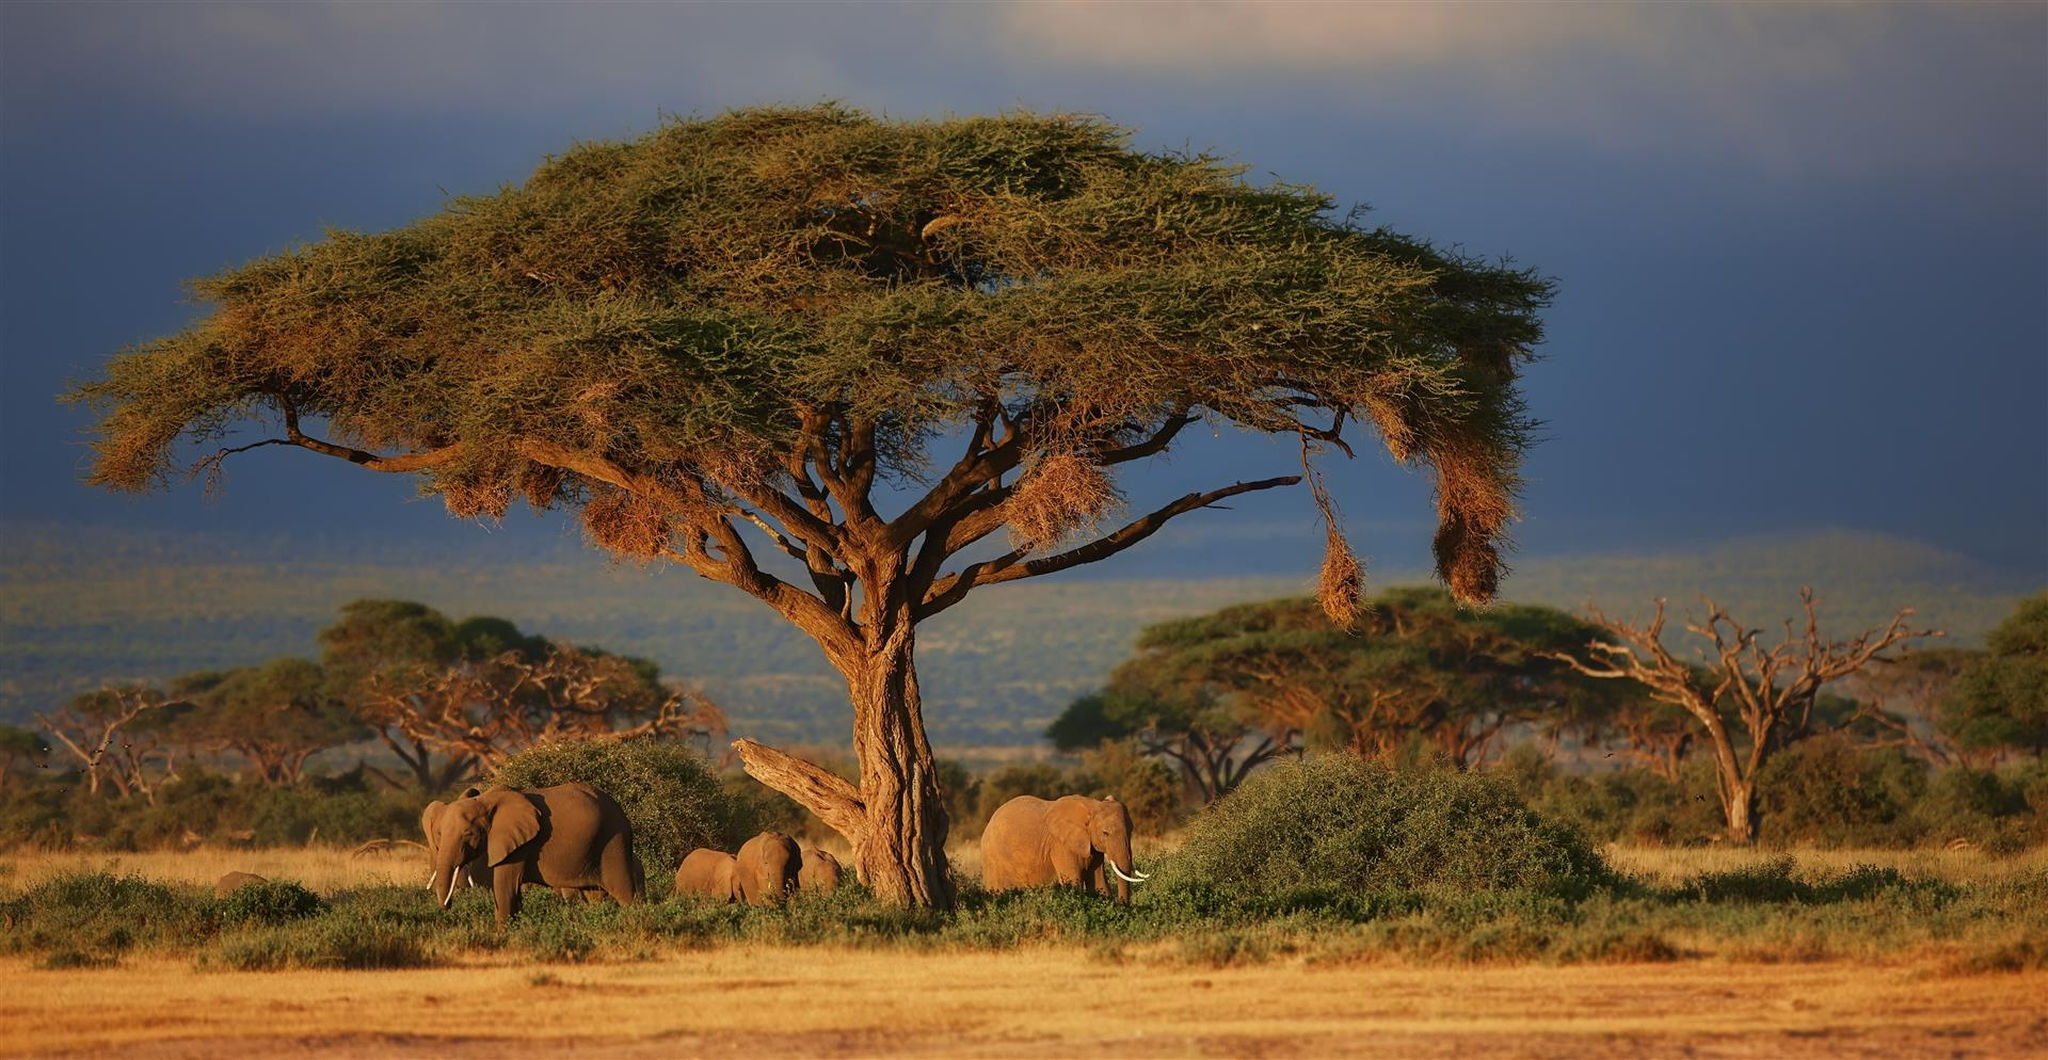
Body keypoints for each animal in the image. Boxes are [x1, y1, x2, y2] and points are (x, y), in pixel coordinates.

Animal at [419, 781, 634, 933]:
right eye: (438, 834)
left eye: (468, 834)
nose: (447, 907)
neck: (486, 801)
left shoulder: (518, 844)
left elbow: (505, 887)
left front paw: (503, 935)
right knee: (594, 895)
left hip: (613, 840)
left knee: (624, 891)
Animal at [978, 798, 1146, 904]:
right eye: (1105, 833)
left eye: (1131, 830)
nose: (1124, 906)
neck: (1092, 806)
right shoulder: (1060, 845)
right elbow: (1073, 883)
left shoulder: (1092, 845)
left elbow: (1099, 884)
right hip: (993, 860)